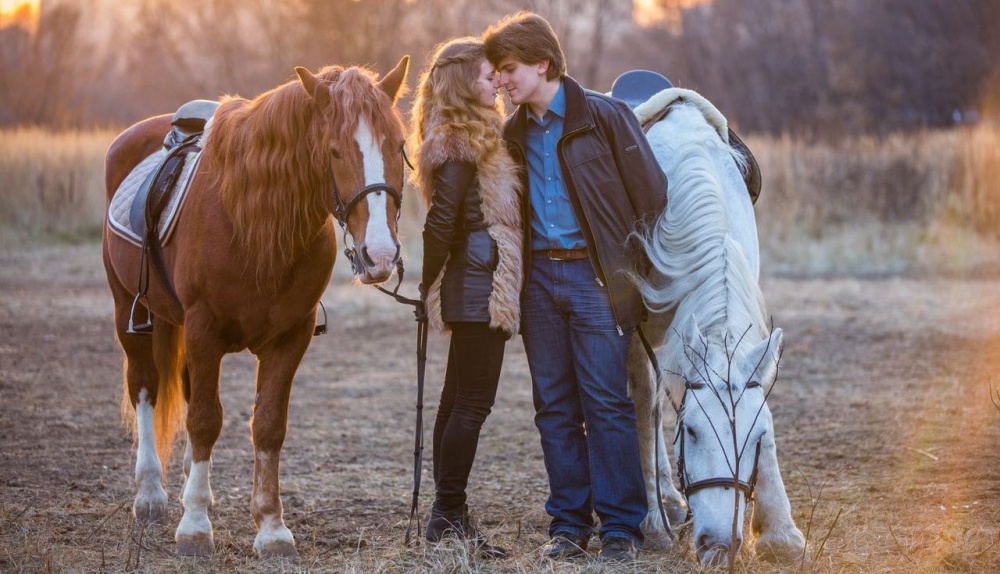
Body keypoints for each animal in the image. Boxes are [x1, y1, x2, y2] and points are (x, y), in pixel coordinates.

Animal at [102, 56, 410, 560]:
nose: (379, 255)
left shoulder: (291, 337)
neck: (251, 223)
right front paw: (194, 527)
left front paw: (270, 527)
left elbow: (267, 426)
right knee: (146, 387)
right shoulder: (204, 328)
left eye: (398, 146)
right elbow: (205, 420)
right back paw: (151, 494)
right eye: (334, 151)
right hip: (129, 309)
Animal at [628, 86, 808, 568]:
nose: (719, 545)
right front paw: (652, 522)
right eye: (691, 430)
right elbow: (646, 407)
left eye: (759, 435)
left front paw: (781, 530)